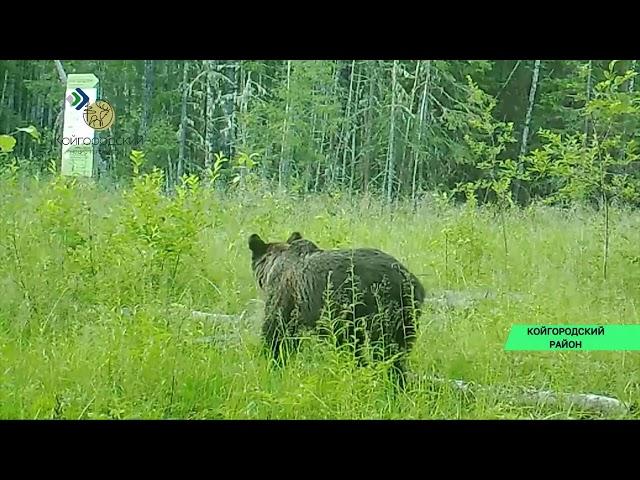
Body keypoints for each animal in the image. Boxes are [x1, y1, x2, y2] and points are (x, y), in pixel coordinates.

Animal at [249, 231, 424, 388]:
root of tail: (409, 280)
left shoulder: (286, 297)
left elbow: (276, 334)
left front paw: (273, 365)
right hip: (405, 315)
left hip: (382, 309)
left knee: (385, 351)